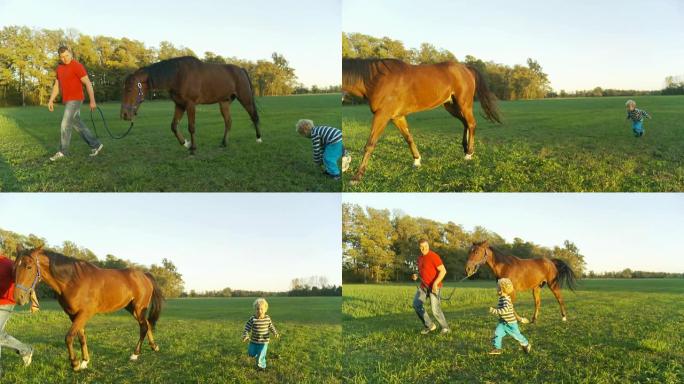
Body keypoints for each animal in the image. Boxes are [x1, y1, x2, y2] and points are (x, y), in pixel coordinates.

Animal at [13, 248, 164, 370]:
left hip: (139, 308)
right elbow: (81, 337)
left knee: (143, 327)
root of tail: (145, 275)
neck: (72, 280)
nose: (18, 297)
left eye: (29, 267)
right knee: (147, 324)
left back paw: (135, 354)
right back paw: (154, 346)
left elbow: (69, 337)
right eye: (15, 267)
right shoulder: (73, 315)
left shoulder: (84, 313)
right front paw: (85, 361)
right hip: (131, 308)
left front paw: (75, 363)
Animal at [121, 55, 260, 153]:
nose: (124, 114)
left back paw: (259, 138)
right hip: (224, 103)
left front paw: (193, 148)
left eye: (129, 89)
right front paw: (185, 144)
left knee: (253, 116)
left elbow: (191, 127)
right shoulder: (179, 105)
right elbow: (174, 126)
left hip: (245, 98)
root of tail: (241, 70)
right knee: (228, 122)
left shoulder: (190, 105)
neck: (178, 75)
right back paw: (224, 143)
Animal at [342, 58, 502, 183]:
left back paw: (469, 153)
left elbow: (370, 144)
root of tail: (466, 68)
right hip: (451, 106)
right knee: (465, 123)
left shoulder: (382, 115)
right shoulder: (397, 116)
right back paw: (465, 149)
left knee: (472, 124)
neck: (375, 78)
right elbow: (408, 137)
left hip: (464, 104)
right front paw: (417, 160)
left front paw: (357, 177)